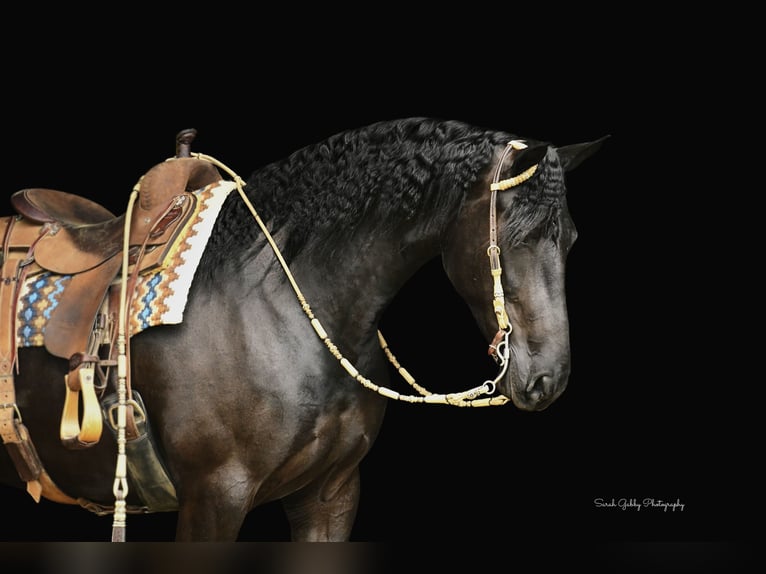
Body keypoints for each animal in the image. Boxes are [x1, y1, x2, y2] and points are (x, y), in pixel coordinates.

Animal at [1, 119, 608, 544]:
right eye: (515, 239)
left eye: (571, 240)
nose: (547, 380)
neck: (277, 308)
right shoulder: (214, 498)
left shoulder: (328, 495)